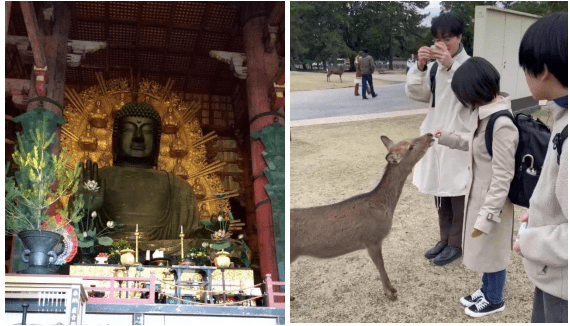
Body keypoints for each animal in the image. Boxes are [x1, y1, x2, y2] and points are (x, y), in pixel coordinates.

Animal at [290, 134, 432, 302]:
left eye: (409, 139)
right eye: (410, 146)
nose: (430, 135)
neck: (385, 209)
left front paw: (391, 290)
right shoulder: (372, 239)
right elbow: (381, 266)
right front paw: (390, 292)